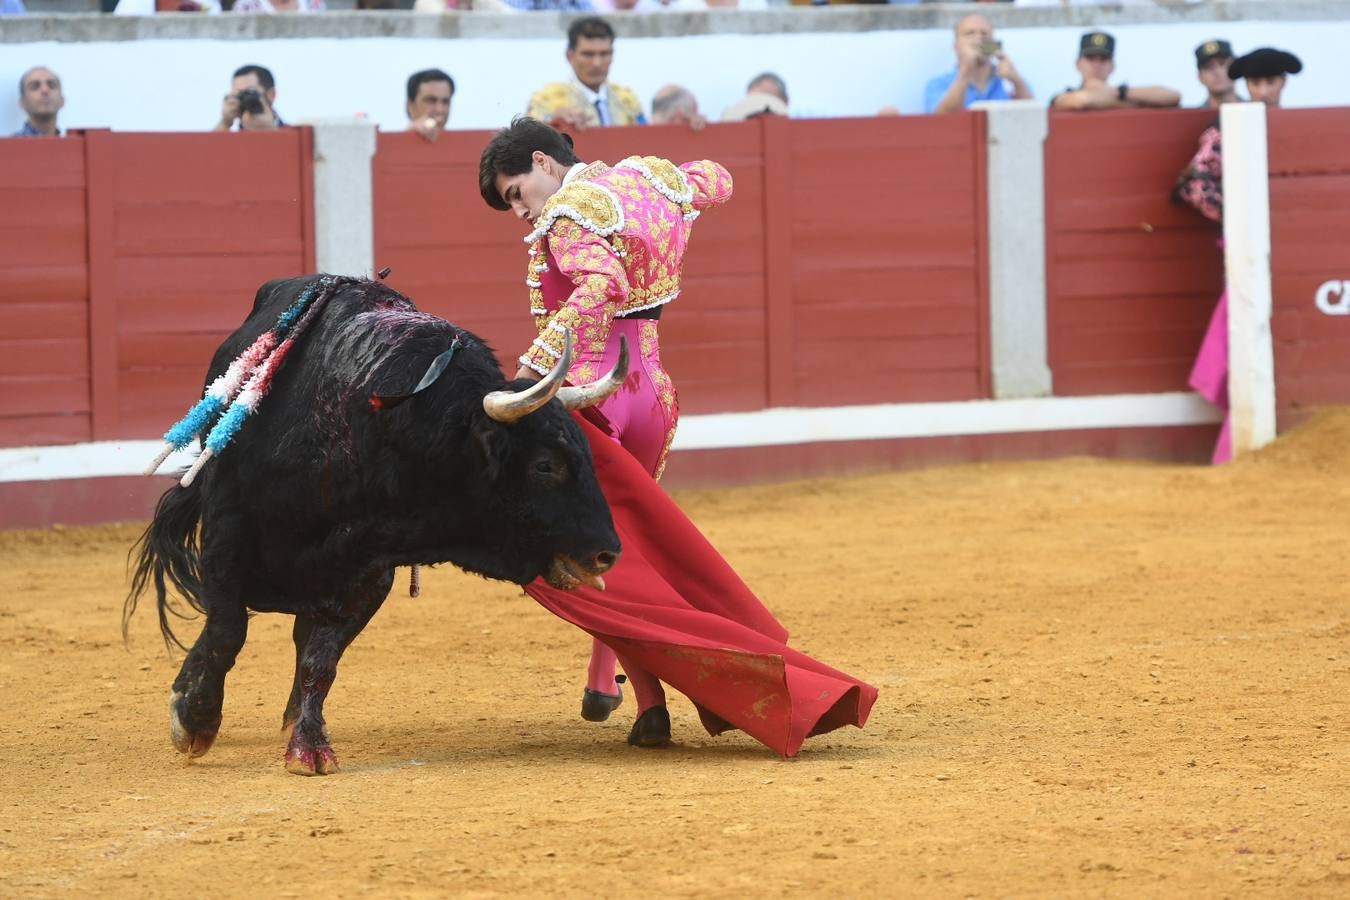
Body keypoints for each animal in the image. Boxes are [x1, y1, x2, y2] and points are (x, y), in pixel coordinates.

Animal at [128, 272, 623, 777]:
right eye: (545, 466)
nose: (607, 552)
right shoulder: (228, 536)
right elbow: (226, 631)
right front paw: (194, 720)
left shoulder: (368, 567)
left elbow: (321, 658)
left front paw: (309, 747)